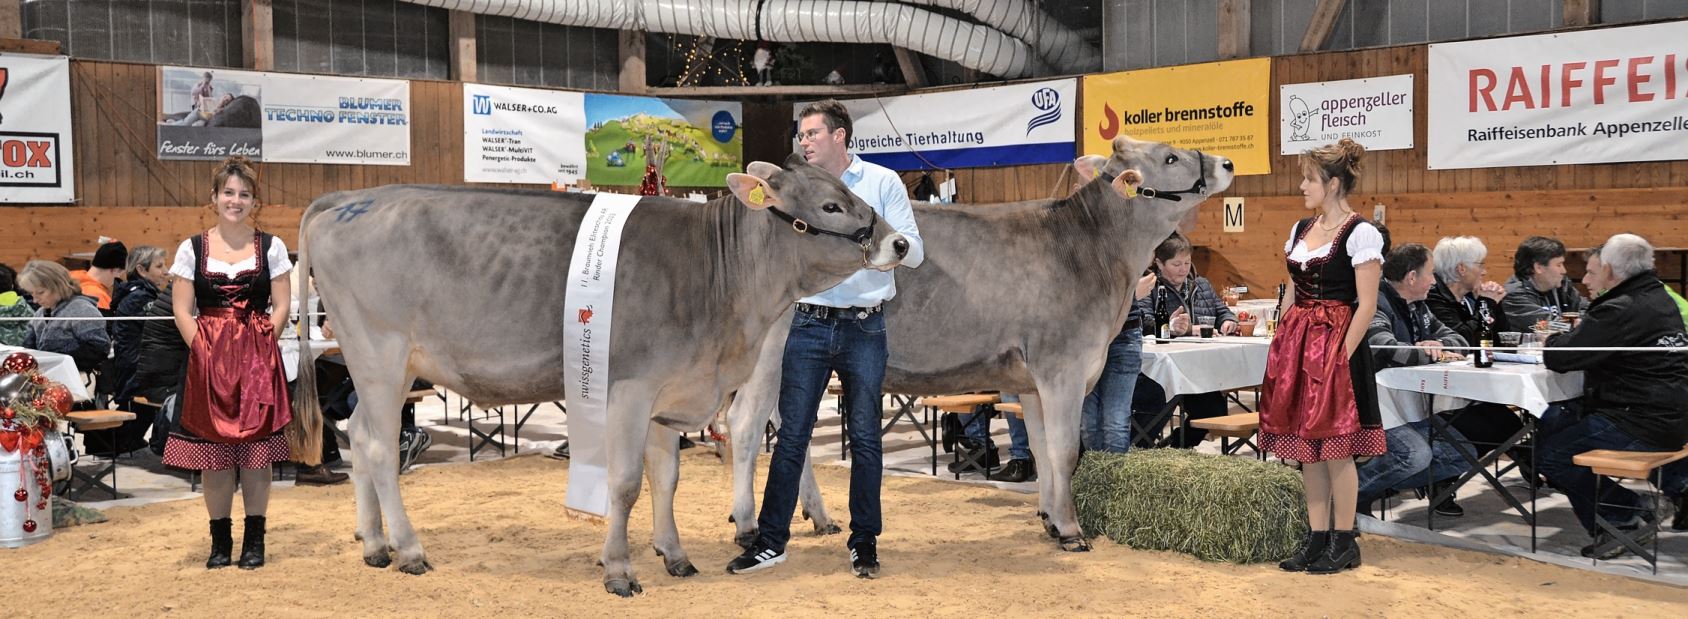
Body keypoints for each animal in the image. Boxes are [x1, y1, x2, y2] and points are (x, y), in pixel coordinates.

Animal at [297, 155, 918, 597]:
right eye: (831, 206)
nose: (899, 241)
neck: (716, 274)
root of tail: (351, 198)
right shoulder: (629, 389)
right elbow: (623, 484)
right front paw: (619, 570)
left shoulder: (670, 392)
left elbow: (666, 479)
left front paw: (674, 555)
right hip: (379, 353)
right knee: (380, 448)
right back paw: (408, 549)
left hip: (384, 365)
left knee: (360, 433)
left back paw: (374, 543)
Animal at [729, 135, 1242, 546]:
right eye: (1171, 157)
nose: (1227, 163)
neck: (1093, 251)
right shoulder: (1064, 367)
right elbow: (1064, 449)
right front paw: (1071, 531)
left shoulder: (1032, 382)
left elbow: (1040, 447)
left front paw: (1049, 518)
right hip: (766, 356)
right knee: (746, 425)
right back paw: (747, 524)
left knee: (786, 429)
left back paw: (818, 516)